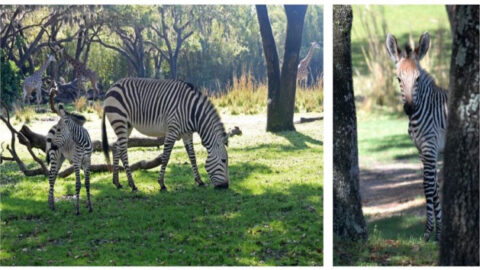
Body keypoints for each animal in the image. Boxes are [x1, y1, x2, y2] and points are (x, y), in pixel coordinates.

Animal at [101, 78, 231, 192]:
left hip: (127, 125)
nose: (225, 186)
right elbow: (166, 157)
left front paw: (199, 181)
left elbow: (192, 157)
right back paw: (132, 185)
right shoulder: (172, 131)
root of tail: (112, 86)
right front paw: (162, 184)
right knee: (123, 150)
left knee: (116, 146)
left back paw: (117, 183)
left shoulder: (187, 134)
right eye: (224, 161)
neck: (192, 112)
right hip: (119, 120)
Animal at [386, 32, 450, 243]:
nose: (409, 108)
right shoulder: (423, 150)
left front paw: (428, 232)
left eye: (418, 79)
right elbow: (434, 187)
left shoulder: (430, 146)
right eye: (398, 79)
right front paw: (439, 233)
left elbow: (428, 187)